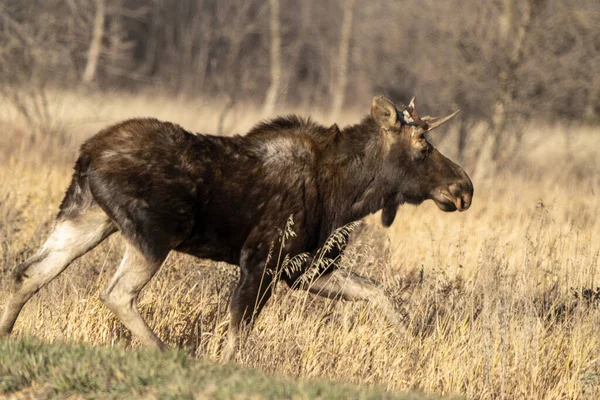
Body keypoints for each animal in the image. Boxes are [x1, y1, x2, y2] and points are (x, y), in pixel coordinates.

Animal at [0, 97, 474, 360]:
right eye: (423, 146)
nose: (464, 187)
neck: (349, 192)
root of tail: (86, 154)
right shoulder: (260, 258)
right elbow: (237, 331)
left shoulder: (303, 267)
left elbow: (379, 293)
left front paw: (413, 342)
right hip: (155, 232)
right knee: (116, 292)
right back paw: (166, 353)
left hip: (87, 219)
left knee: (29, 272)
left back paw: (6, 334)